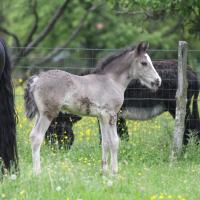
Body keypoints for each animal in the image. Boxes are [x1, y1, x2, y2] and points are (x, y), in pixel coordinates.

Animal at [45, 60, 200, 148]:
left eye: (55, 128)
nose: (51, 150)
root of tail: (191, 72)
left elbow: (110, 134)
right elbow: (120, 133)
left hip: (176, 106)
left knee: (187, 126)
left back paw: (184, 149)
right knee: (194, 125)